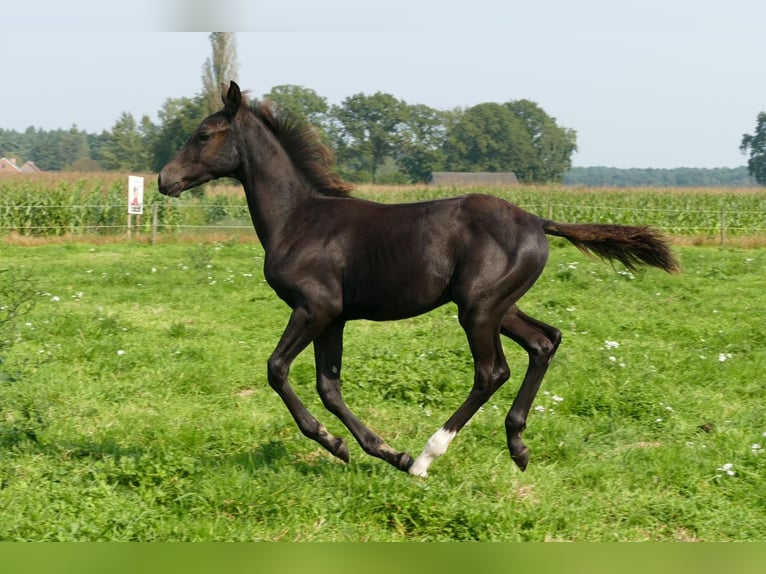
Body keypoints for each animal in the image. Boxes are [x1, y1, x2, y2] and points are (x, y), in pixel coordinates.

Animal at [158, 80, 680, 476]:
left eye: (203, 134)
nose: (164, 179)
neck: (299, 218)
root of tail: (538, 220)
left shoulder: (314, 308)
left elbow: (277, 369)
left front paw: (350, 447)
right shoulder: (334, 318)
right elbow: (329, 387)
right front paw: (378, 450)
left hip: (478, 310)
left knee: (492, 371)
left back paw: (429, 457)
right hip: (498, 305)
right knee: (544, 341)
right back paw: (517, 446)